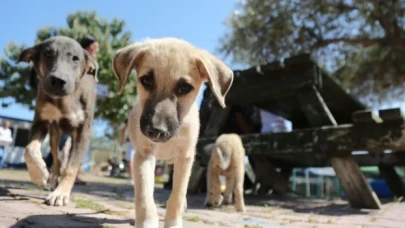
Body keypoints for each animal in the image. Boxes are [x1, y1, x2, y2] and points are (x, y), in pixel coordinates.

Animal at [16, 35, 98, 207]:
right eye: (47, 54)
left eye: (75, 58)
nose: (59, 81)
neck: (64, 100)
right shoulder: (40, 121)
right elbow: (29, 149)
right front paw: (39, 174)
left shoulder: (83, 131)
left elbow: (71, 167)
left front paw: (61, 193)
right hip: (55, 135)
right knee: (57, 159)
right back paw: (52, 180)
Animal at [112, 37, 234, 228]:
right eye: (146, 80)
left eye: (184, 88)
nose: (155, 131)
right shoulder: (144, 155)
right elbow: (144, 195)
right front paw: (146, 221)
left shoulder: (185, 157)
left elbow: (178, 194)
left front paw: (174, 221)